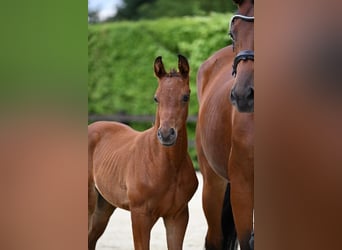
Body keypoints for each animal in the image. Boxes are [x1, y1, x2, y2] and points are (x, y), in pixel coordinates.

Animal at [87, 54, 198, 250]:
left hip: (104, 206)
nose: (166, 134)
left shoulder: (178, 216)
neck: (166, 166)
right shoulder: (140, 216)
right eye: (156, 98)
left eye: (185, 96)